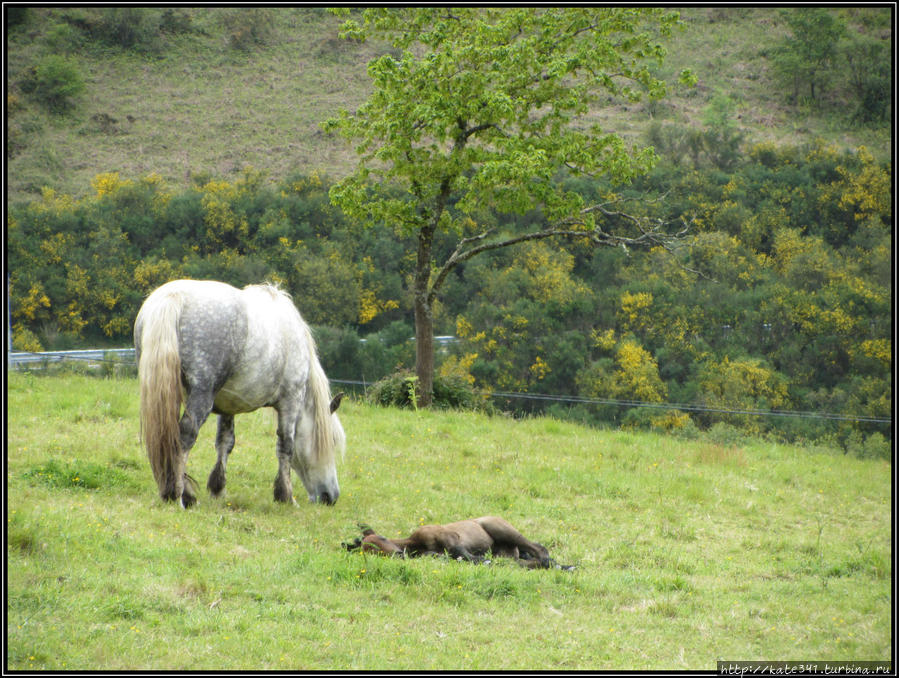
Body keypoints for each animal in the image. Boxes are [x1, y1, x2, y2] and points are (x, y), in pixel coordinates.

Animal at [134, 278, 344, 508]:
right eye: (333, 442)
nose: (331, 497)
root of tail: (174, 297)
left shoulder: (228, 405)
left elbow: (225, 442)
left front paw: (218, 489)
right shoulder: (291, 401)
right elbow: (286, 446)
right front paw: (286, 496)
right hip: (201, 397)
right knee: (185, 437)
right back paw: (178, 495)